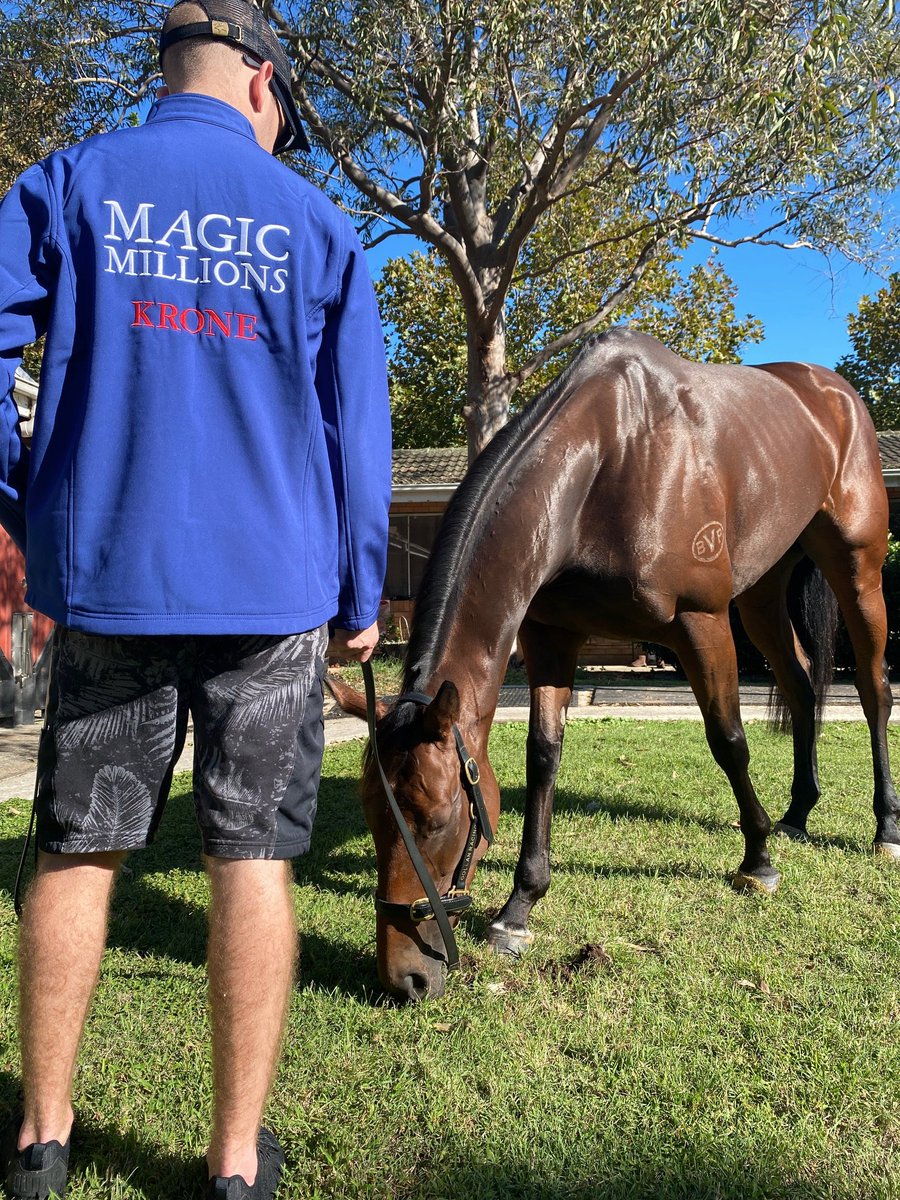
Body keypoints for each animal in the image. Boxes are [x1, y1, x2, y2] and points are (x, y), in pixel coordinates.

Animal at [330, 328, 898, 1003]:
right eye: (370, 814)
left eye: (438, 819)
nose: (405, 978)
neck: (609, 458)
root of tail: (833, 391)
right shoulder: (551, 636)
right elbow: (543, 756)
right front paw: (519, 908)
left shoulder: (701, 622)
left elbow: (729, 741)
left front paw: (757, 862)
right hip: (762, 591)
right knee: (803, 684)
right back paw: (797, 815)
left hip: (856, 566)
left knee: (873, 688)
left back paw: (885, 829)